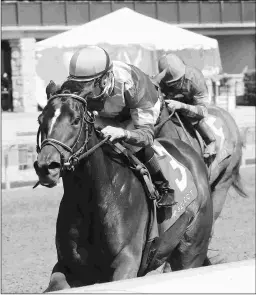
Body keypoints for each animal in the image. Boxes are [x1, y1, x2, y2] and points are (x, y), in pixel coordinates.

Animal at [34, 80, 214, 292]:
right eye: (40, 119)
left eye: (76, 120)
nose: (46, 166)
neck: (93, 198)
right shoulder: (69, 268)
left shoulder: (126, 262)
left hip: (191, 249)